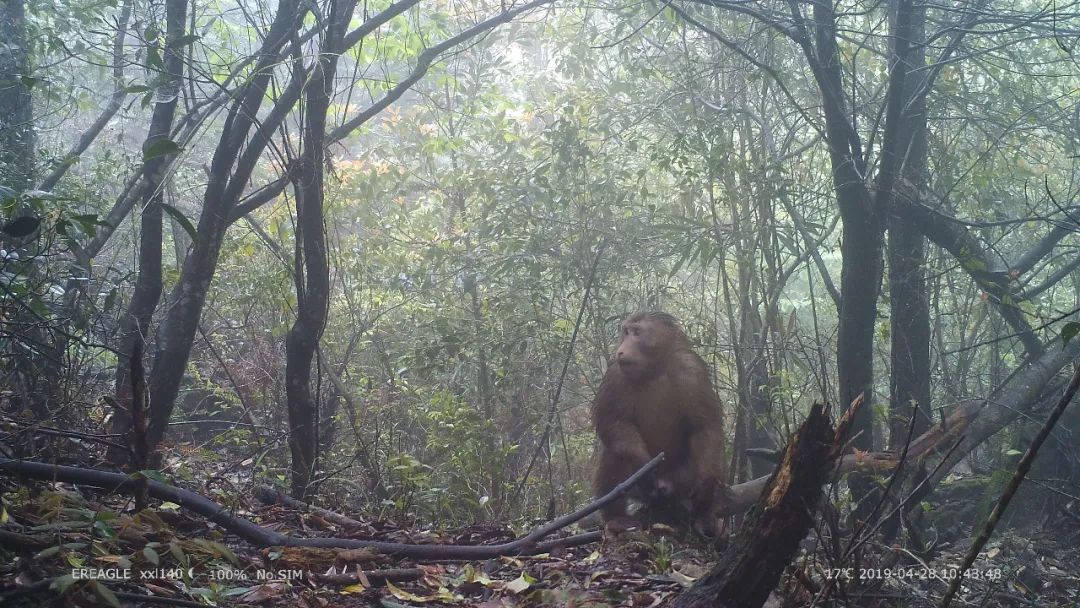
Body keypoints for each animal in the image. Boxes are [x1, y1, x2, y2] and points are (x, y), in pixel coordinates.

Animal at [591, 313, 734, 537]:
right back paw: (616, 518)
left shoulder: (692, 369)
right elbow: (612, 421)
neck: (655, 369)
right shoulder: (616, 372)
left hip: (681, 483)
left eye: (637, 332)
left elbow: (705, 428)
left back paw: (704, 516)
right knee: (615, 452)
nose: (621, 349)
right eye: (626, 332)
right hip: (640, 491)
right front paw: (643, 464)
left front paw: (705, 494)